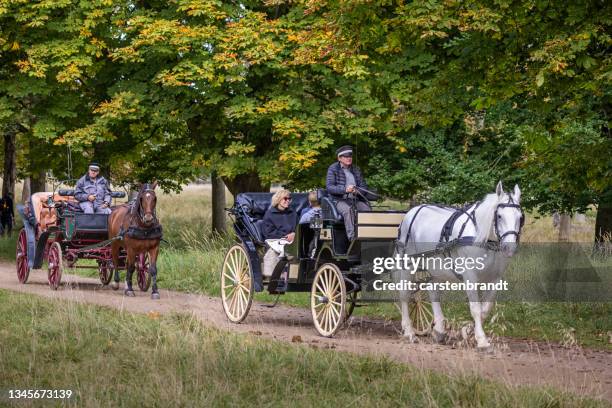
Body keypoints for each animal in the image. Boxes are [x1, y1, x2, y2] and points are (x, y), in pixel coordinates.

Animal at [396, 181, 524, 348]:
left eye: (520, 217)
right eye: (499, 216)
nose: (509, 248)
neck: (483, 239)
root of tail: (411, 212)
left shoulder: (496, 278)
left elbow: (485, 309)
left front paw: (467, 331)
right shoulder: (470, 276)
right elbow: (476, 308)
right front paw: (481, 340)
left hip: (434, 267)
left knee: (433, 293)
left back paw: (439, 331)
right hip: (409, 263)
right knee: (405, 294)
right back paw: (409, 331)